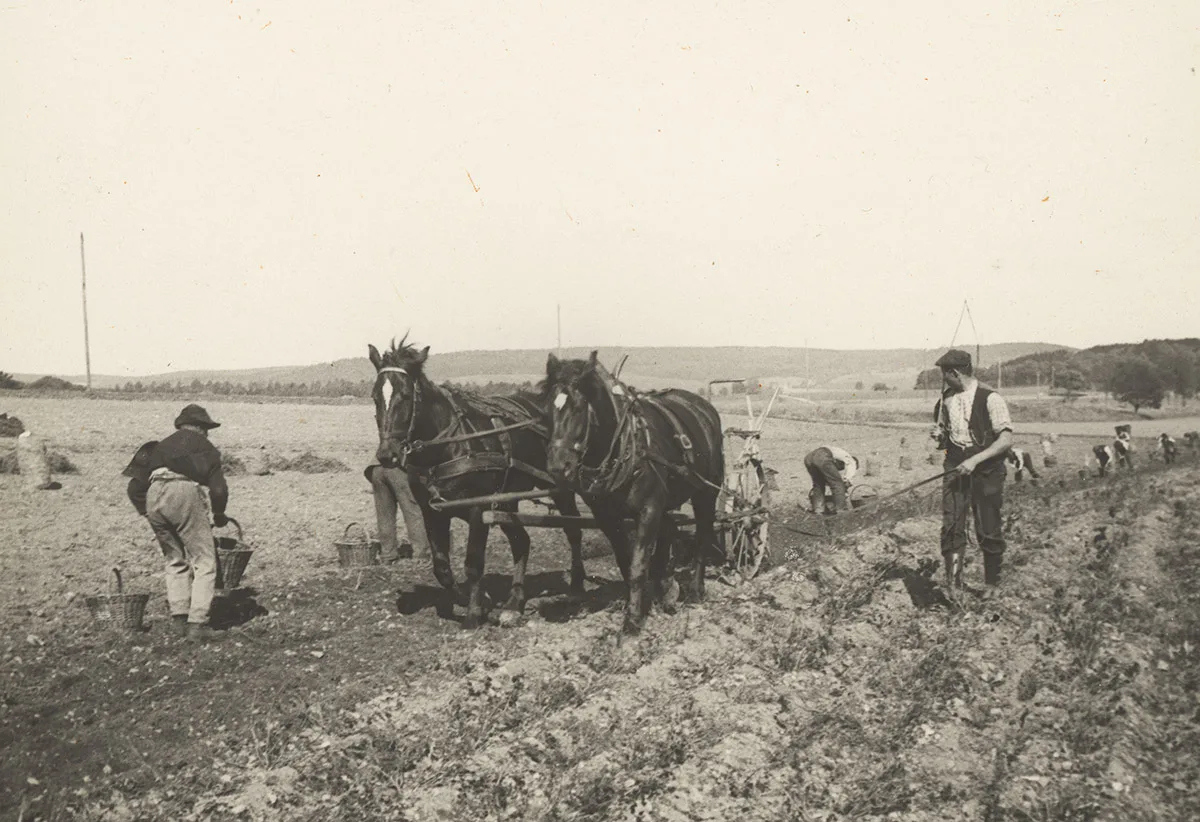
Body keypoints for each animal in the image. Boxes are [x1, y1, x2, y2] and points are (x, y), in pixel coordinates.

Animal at [369, 336, 585, 624]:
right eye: (375, 396)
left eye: (404, 395)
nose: (386, 455)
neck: (449, 445)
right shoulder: (432, 511)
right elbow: (441, 566)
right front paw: (474, 599)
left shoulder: (477, 508)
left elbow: (473, 562)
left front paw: (474, 612)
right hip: (506, 500)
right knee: (522, 541)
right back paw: (514, 602)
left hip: (559, 487)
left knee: (573, 531)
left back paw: (576, 588)